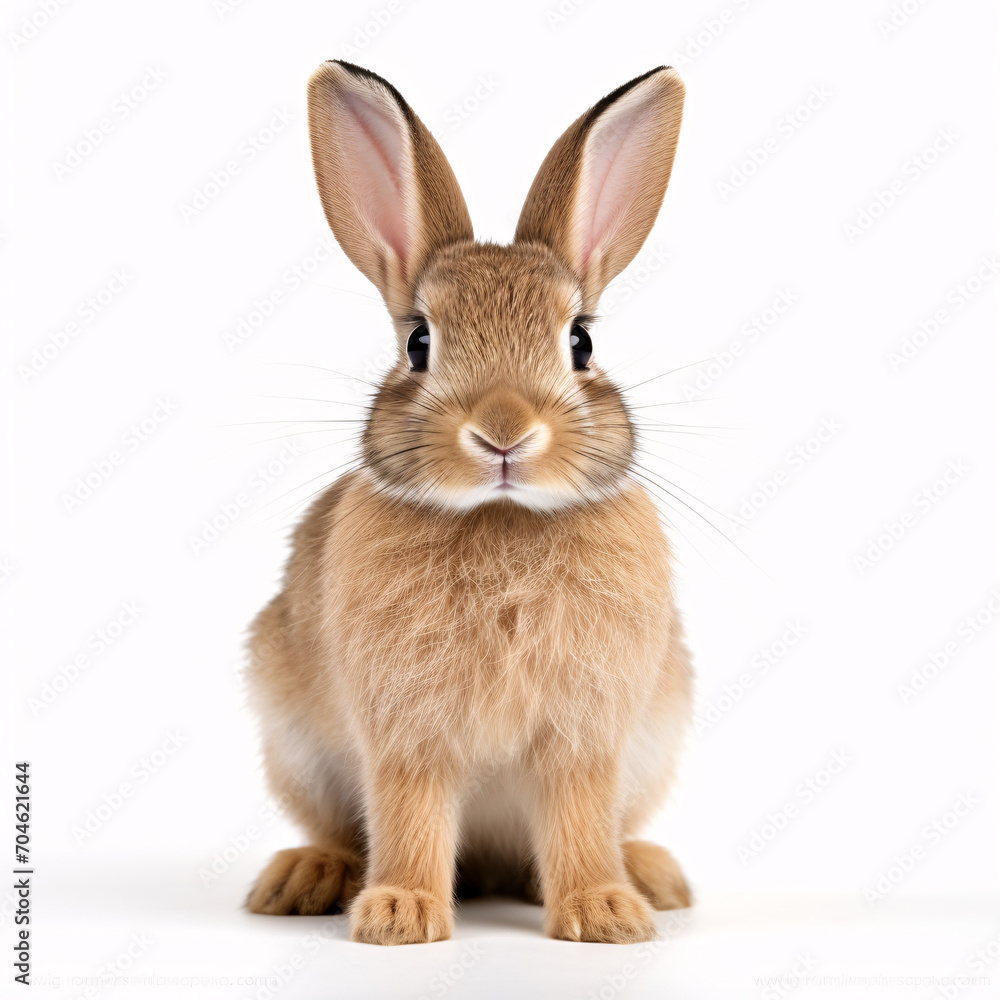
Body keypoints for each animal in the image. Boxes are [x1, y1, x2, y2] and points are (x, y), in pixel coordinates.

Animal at [245, 59, 693, 945]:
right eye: (420, 342)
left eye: (581, 342)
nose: (503, 432)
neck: (502, 518)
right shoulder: (406, 731)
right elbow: (410, 812)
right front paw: (401, 915)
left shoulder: (587, 734)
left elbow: (580, 816)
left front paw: (604, 913)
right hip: (295, 742)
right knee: (338, 829)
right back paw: (307, 877)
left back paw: (651, 876)